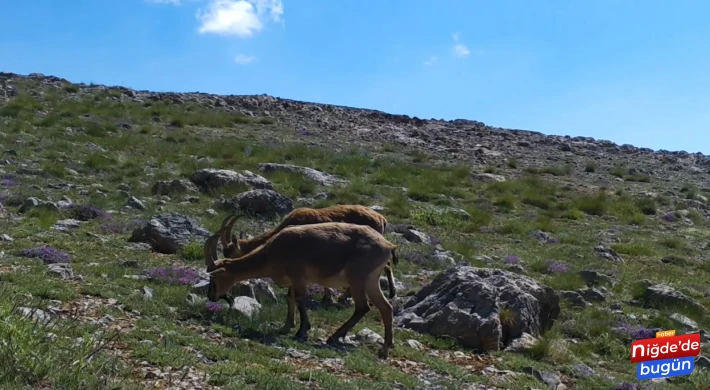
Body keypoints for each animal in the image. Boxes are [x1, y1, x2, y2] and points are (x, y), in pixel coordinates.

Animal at [203, 221, 398, 358]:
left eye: (214, 278)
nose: (211, 296)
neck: (273, 250)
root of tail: (388, 245)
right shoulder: (293, 281)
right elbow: (290, 298)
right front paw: (286, 326)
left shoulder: (298, 277)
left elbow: (299, 299)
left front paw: (301, 331)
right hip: (371, 280)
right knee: (386, 307)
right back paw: (385, 349)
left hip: (358, 278)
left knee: (363, 307)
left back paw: (334, 337)